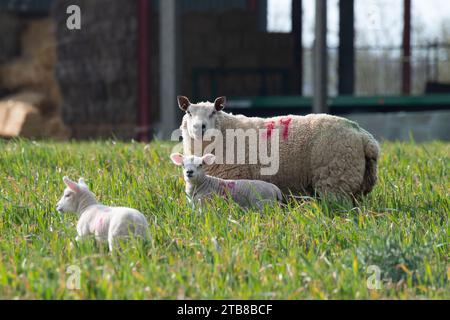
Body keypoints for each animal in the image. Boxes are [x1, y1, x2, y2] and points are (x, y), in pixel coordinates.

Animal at [177, 95, 380, 199]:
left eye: (213, 112)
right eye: (188, 112)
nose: (199, 127)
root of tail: (363, 136)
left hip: (335, 179)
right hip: (358, 184)